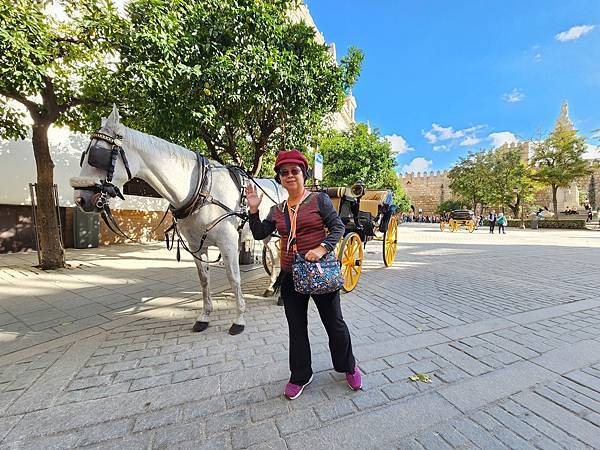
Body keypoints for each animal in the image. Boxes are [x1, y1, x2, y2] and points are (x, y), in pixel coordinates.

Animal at [71, 106, 284, 334]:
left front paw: (239, 319)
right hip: (267, 235)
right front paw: (204, 316)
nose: (80, 199)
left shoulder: (227, 242)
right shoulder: (196, 244)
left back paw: (280, 295)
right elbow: (204, 280)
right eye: (83, 156)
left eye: (97, 155)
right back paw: (271, 288)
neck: (202, 188)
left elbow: (234, 278)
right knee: (275, 257)